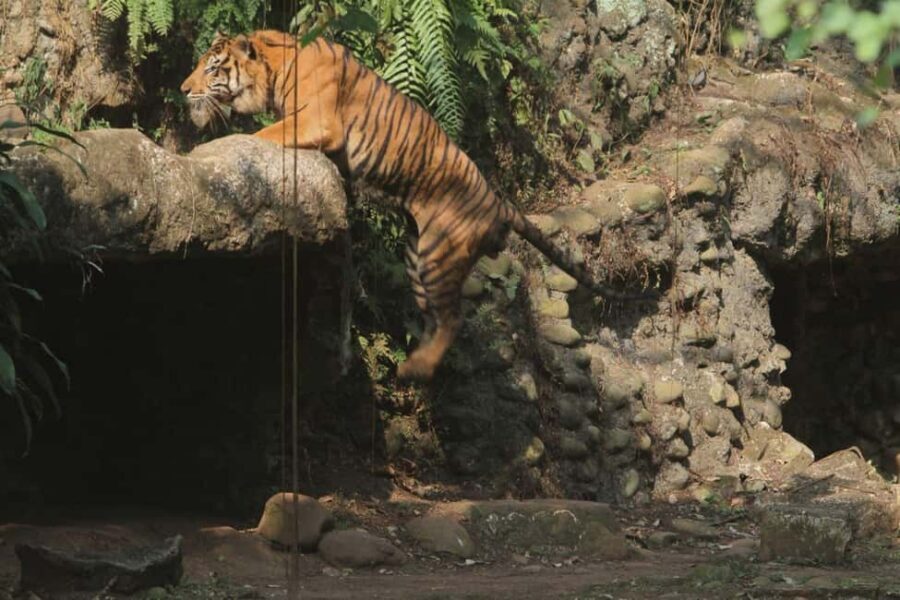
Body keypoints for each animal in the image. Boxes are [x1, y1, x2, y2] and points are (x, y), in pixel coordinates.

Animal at [180, 30, 650, 381]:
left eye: (212, 67)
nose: (184, 90)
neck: (277, 68)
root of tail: (498, 203)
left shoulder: (315, 122)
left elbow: (261, 135)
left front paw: (200, 151)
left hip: (440, 255)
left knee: (455, 317)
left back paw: (414, 370)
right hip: (417, 259)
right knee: (436, 318)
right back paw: (415, 361)